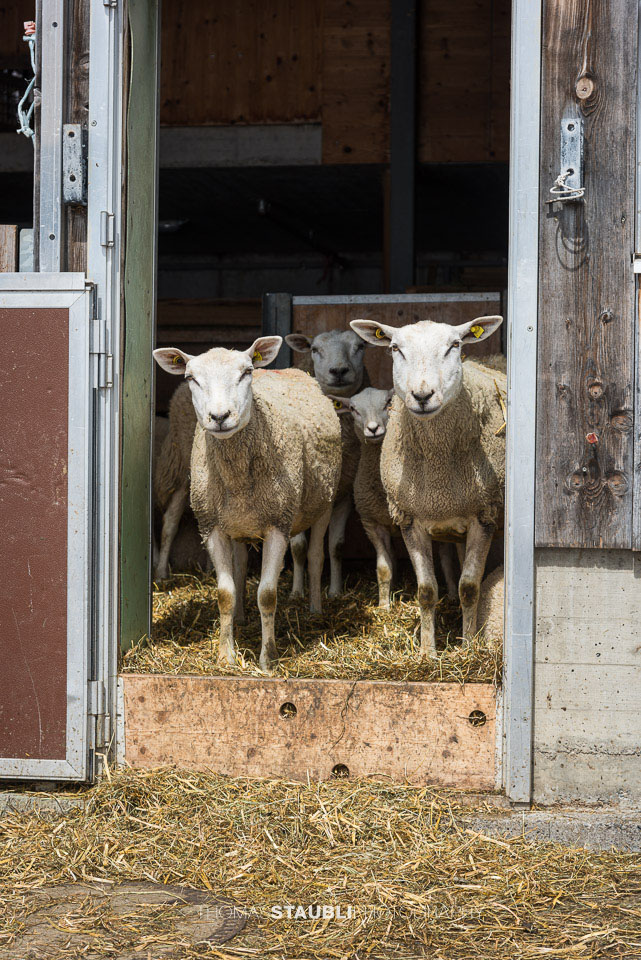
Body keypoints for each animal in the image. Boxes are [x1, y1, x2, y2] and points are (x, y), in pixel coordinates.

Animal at [153, 337, 342, 672]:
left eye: (246, 372)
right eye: (191, 378)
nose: (219, 417)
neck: (237, 477)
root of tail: (291, 370)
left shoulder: (278, 525)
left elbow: (267, 595)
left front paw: (267, 659)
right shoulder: (212, 527)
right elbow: (224, 593)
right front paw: (225, 656)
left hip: (323, 503)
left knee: (317, 555)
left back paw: (315, 609)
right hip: (238, 522)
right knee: (240, 564)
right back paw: (241, 617)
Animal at [285, 328, 370, 597]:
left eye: (359, 346)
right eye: (315, 349)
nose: (339, 370)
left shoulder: (344, 494)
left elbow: (336, 546)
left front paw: (335, 592)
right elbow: (299, 547)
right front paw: (297, 592)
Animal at [330, 387, 459, 608]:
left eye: (387, 403)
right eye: (353, 409)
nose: (373, 429)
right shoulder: (371, 523)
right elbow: (384, 567)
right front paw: (384, 604)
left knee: (446, 557)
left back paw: (452, 594)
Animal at [350, 315, 505, 657]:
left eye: (454, 345)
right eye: (395, 348)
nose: (422, 396)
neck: (438, 472)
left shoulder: (484, 514)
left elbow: (470, 587)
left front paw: (468, 647)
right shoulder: (410, 519)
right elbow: (426, 591)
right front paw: (427, 652)